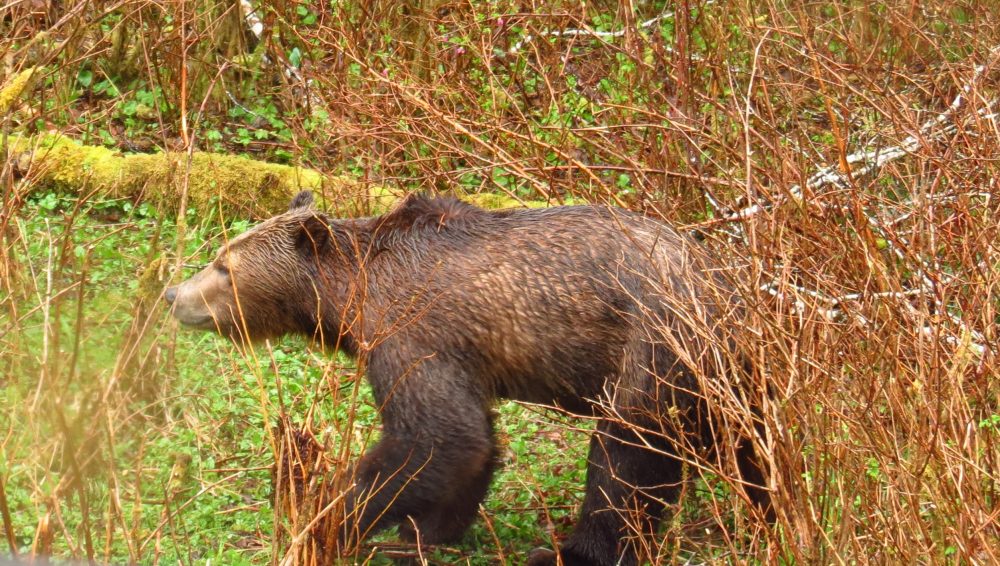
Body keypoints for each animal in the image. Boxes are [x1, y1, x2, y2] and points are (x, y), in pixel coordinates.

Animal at [164, 191, 770, 566]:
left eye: (223, 265)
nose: (174, 293)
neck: (349, 297)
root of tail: (722, 282)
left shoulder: (411, 331)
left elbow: (437, 437)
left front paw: (331, 519)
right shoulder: (460, 356)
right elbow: (471, 444)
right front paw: (425, 531)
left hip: (651, 352)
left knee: (625, 459)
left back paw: (569, 550)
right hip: (727, 376)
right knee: (750, 440)